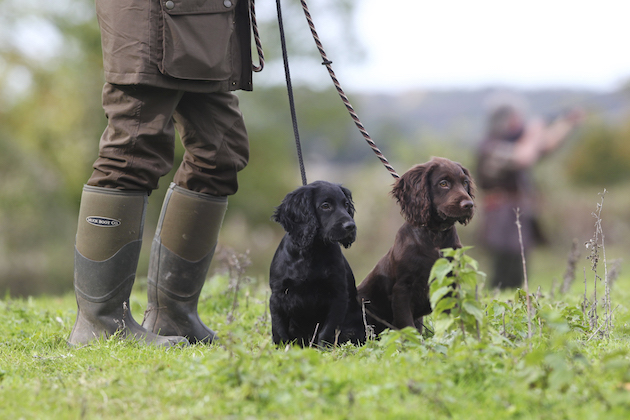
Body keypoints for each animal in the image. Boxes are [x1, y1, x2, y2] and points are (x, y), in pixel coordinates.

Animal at [270, 181, 368, 348]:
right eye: (325, 205)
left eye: (346, 204)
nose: (351, 226)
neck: (312, 252)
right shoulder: (277, 296)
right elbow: (279, 331)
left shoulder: (338, 296)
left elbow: (326, 331)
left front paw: (324, 351)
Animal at [358, 157, 476, 334]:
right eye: (443, 183)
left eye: (465, 182)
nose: (469, 205)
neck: (434, 235)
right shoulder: (402, 289)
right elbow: (407, 326)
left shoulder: (449, 285)